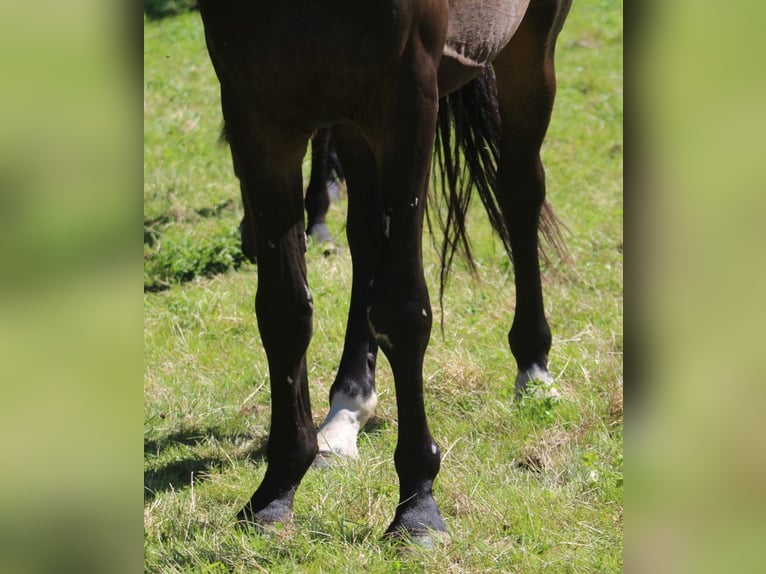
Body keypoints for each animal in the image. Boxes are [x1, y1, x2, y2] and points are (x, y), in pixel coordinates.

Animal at [200, 0, 576, 544]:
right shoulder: (255, 110)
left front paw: (418, 508)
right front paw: (276, 491)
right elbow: (284, 312)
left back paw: (534, 367)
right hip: (352, 120)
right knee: (366, 239)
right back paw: (347, 409)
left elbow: (401, 309)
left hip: (530, 48)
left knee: (520, 189)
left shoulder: (407, 102)